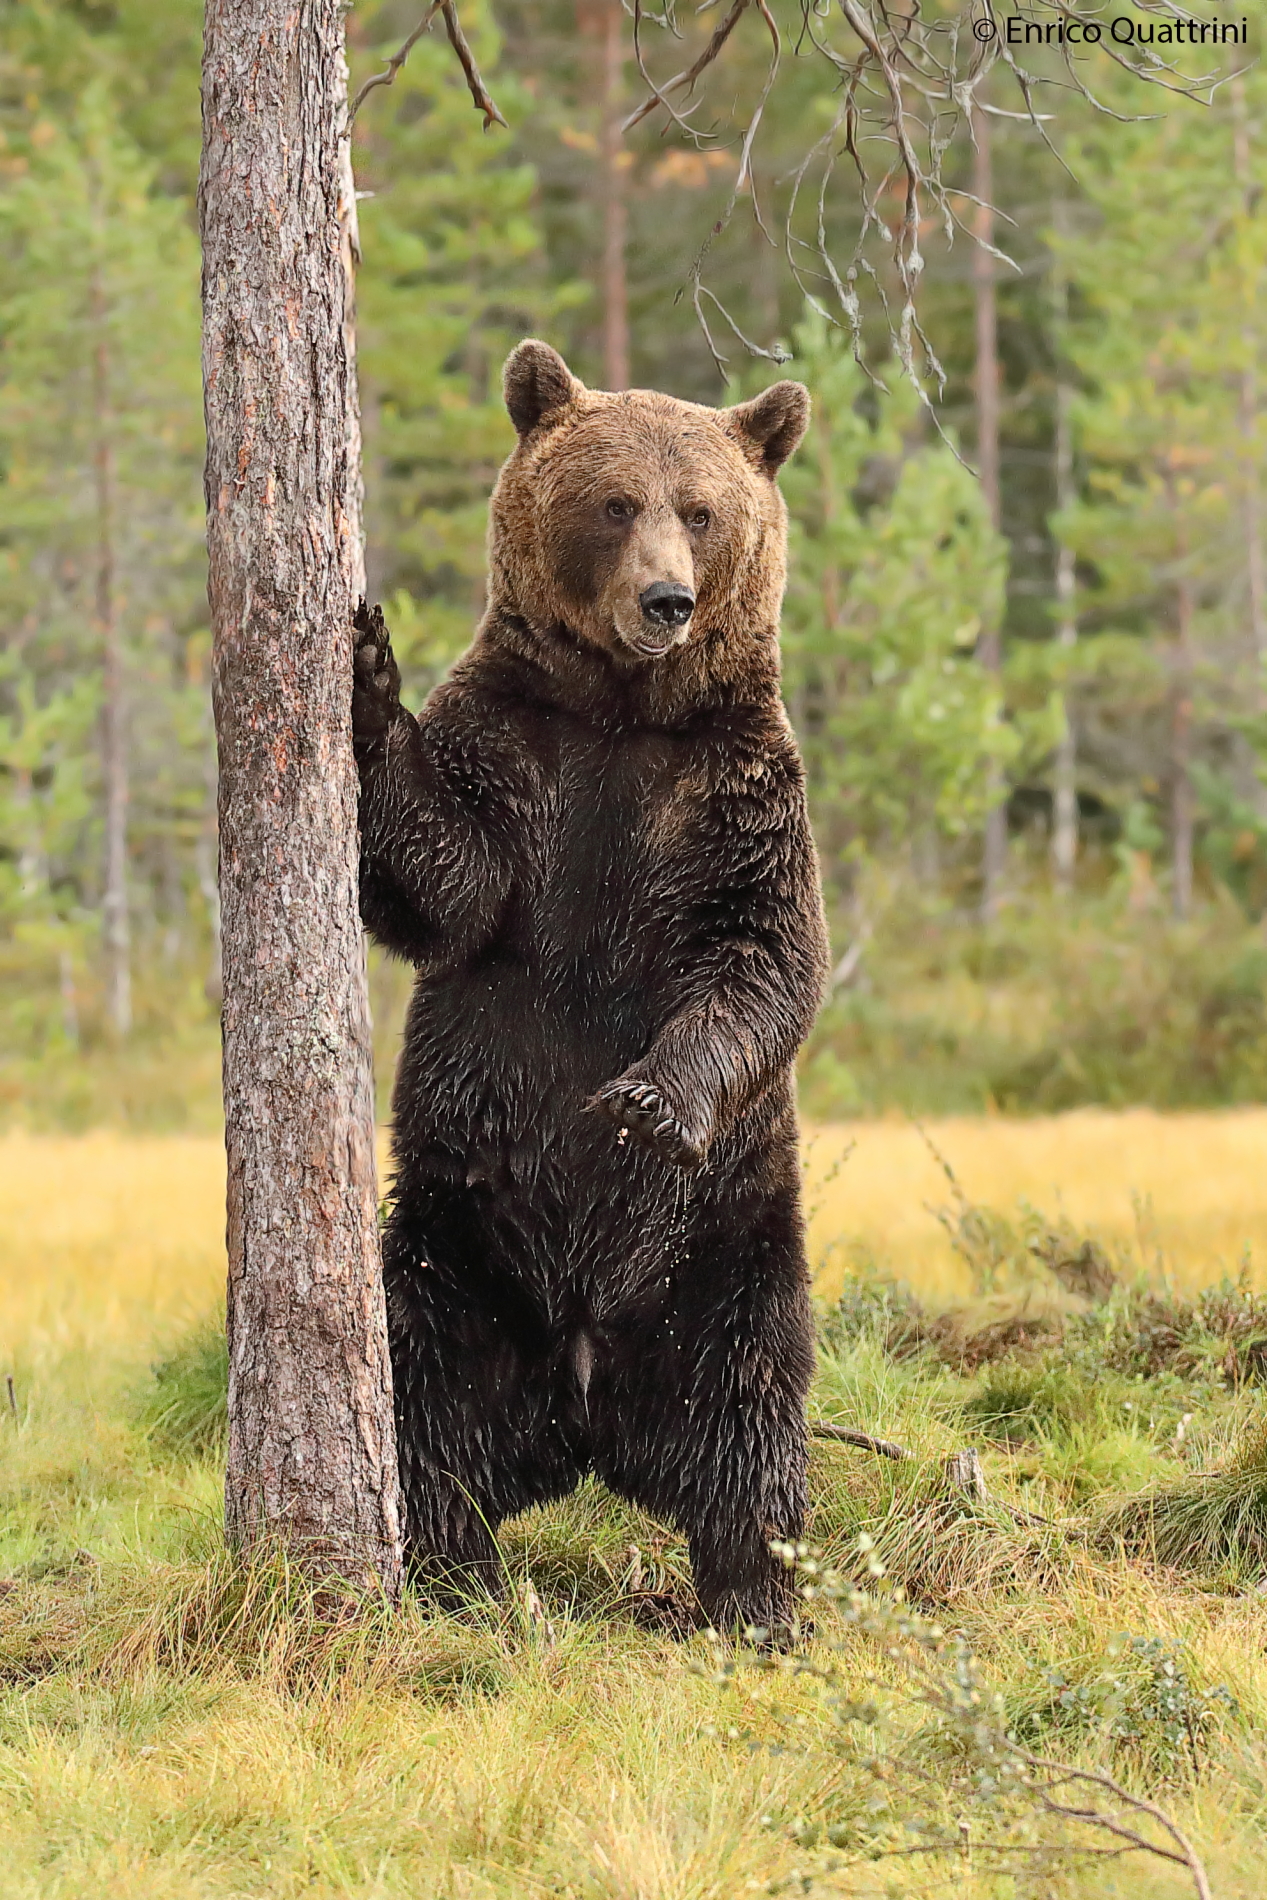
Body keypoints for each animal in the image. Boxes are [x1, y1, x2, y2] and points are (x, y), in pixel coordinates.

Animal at [352, 339, 829, 1634]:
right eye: (615, 502)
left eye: (701, 510)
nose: (665, 601)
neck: (622, 712)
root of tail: (581, 1397)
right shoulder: (519, 756)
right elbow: (445, 887)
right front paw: (368, 674)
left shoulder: (735, 790)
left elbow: (764, 960)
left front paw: (645, 1101)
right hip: (456, 1243)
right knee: (430, 1406)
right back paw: (458, 1573)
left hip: (723, 1245)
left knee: (747, 1413)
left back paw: (756, 1594)